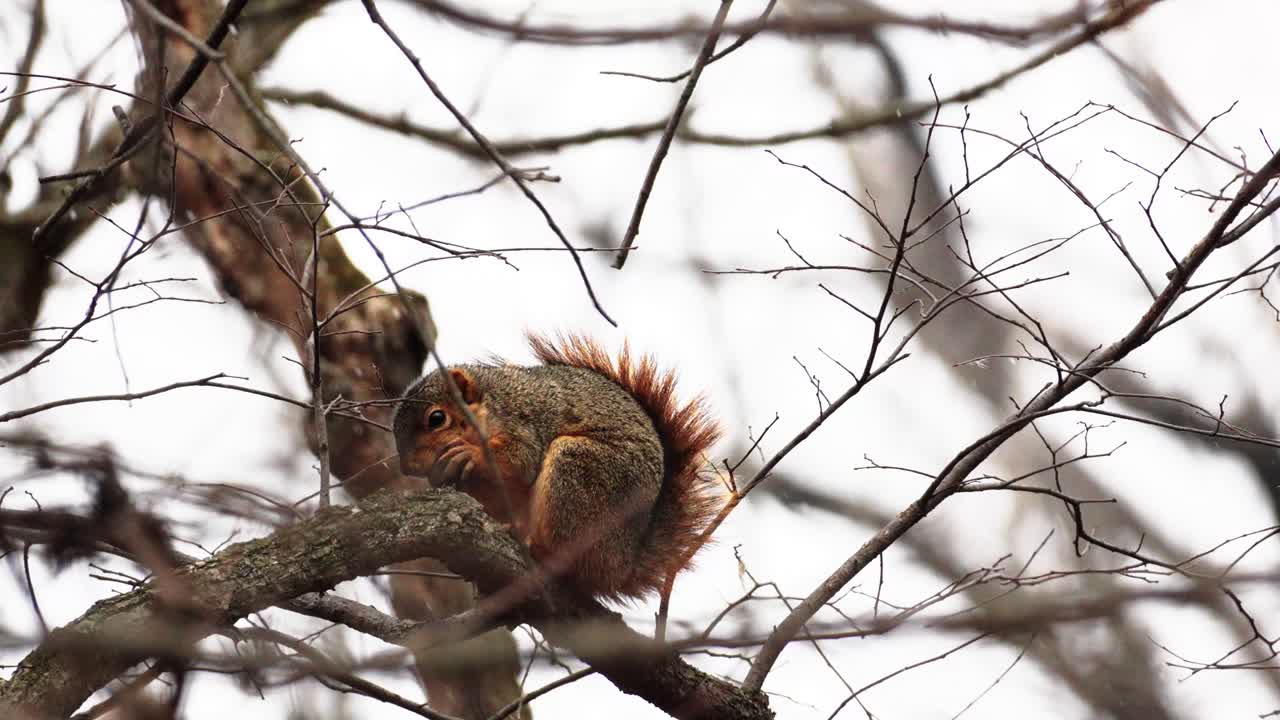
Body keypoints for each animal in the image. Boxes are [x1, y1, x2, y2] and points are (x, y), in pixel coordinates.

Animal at [391, 333, 722, 601]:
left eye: (436, 419)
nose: (408, 467)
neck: (489, 404)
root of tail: (623, 565)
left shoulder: (524, 423)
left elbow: (521, 460)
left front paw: (471, 454)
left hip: (580, 473)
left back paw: (542, 552)